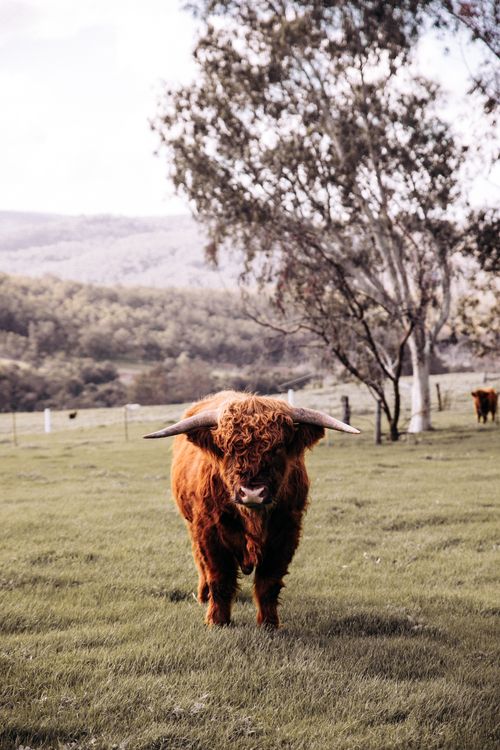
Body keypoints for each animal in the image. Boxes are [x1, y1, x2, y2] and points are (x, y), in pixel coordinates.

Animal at [144, 390, 359, 627]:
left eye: (277, 448)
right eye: (227, 448)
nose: (253, 492)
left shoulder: (286, 533)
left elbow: (269, 583)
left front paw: (269, 623)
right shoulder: (210, 532)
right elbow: (219, 578)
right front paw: (217, 621)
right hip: (192, 526)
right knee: (200, 562)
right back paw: (203, 595)